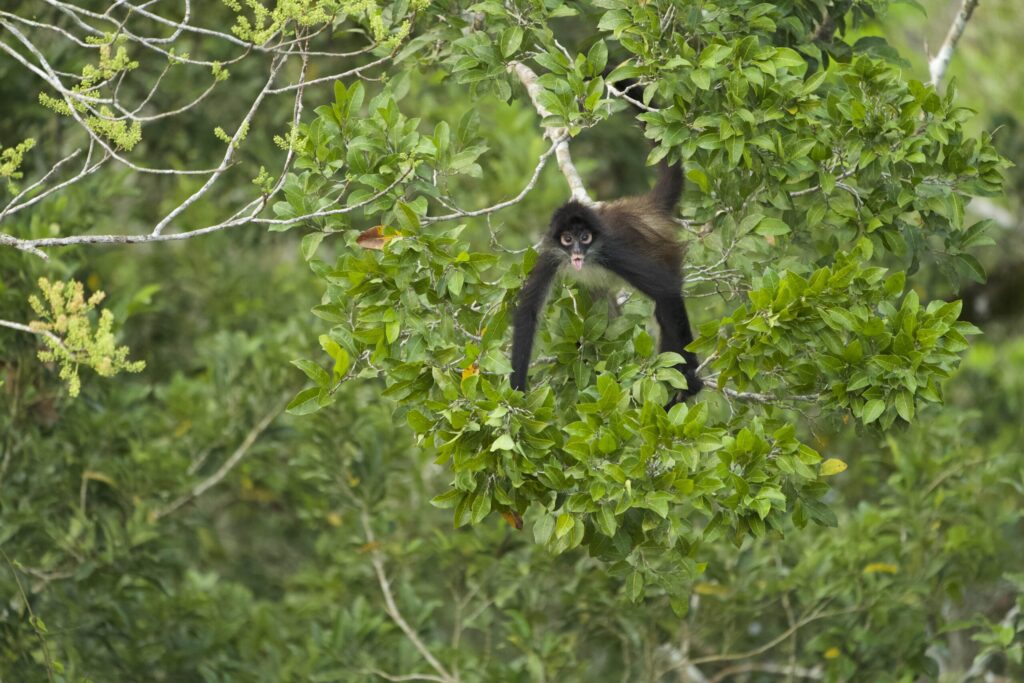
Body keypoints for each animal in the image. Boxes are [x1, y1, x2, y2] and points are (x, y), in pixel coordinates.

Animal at [509, 157, 704, 405]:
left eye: (585, 237)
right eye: (567, 238)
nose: (577, 252)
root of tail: (644, 208)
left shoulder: (611, 249)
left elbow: (666, 290)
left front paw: (691, 371)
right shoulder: (549, 255)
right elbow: (528, 312)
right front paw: (516, 392)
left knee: (664, 308)